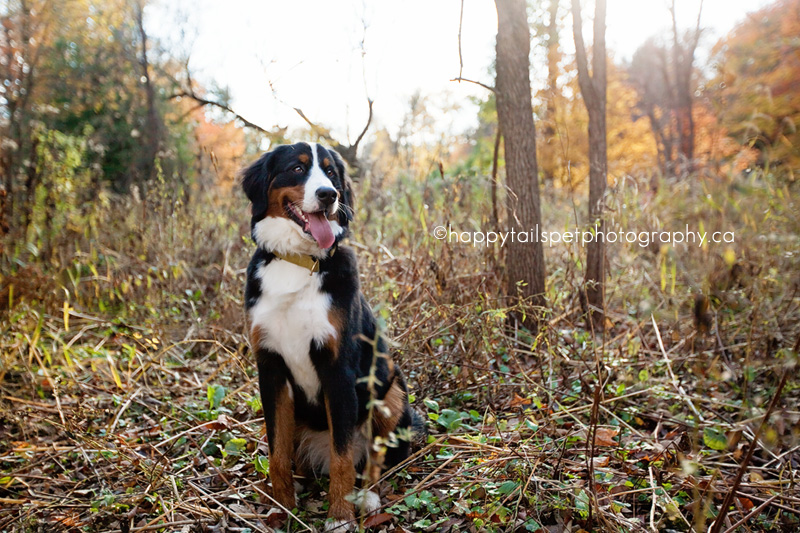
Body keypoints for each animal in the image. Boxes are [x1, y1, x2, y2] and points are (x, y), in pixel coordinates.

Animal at [241, 140, 424, 528]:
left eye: (330, 172)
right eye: (297, 168)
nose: (329, 194)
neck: (297, 262)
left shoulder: (338, 368)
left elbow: (343, 458)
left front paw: (339, 516)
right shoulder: (271, 368)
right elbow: (276, 452)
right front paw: (282, 510)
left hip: (390, 391)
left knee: (374, 460)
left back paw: (367, 497)